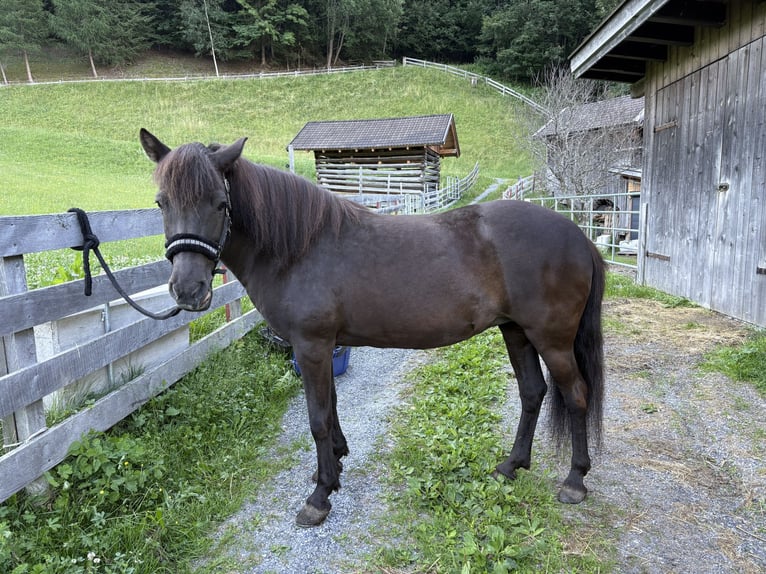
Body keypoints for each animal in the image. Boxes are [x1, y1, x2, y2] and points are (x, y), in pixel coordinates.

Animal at [139, 129, 606, 527]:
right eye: (162, 203)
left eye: (220, 202)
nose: (188, 290)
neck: (299, 248)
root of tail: (579, 237)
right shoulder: (322, 347)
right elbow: (331, 406)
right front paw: (334, 466)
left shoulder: (311, 345)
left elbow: (317, 417)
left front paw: (320, 497)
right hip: (516, 332)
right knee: (533, 392)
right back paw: (510, 466)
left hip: (552, 339)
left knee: (576, 395)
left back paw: (574, 481)